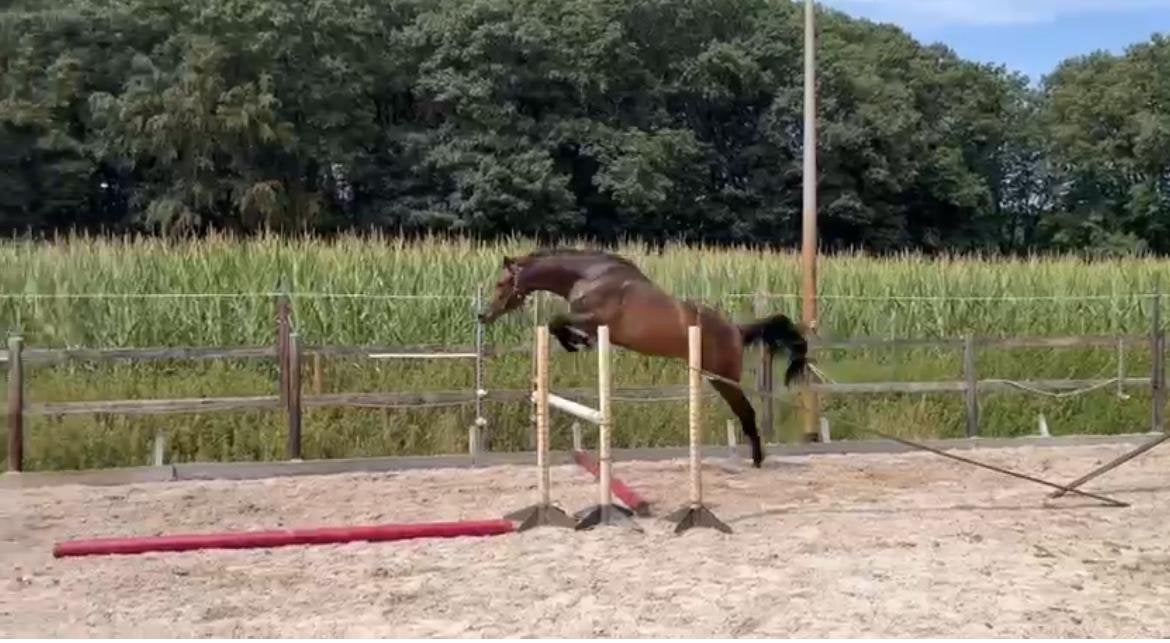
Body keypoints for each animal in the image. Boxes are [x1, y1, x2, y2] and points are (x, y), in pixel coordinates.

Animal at [477, 248, 810, 468]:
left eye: (501, 283)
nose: (484, 315)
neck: (592, 276)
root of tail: (736, 330)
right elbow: (558, 324)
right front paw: (577, 342)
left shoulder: (594, 317)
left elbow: (557, 320)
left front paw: (577, 343)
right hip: (715, 378)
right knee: (744, 413)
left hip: (724, 378)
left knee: (747, 413)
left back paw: (757, 460)